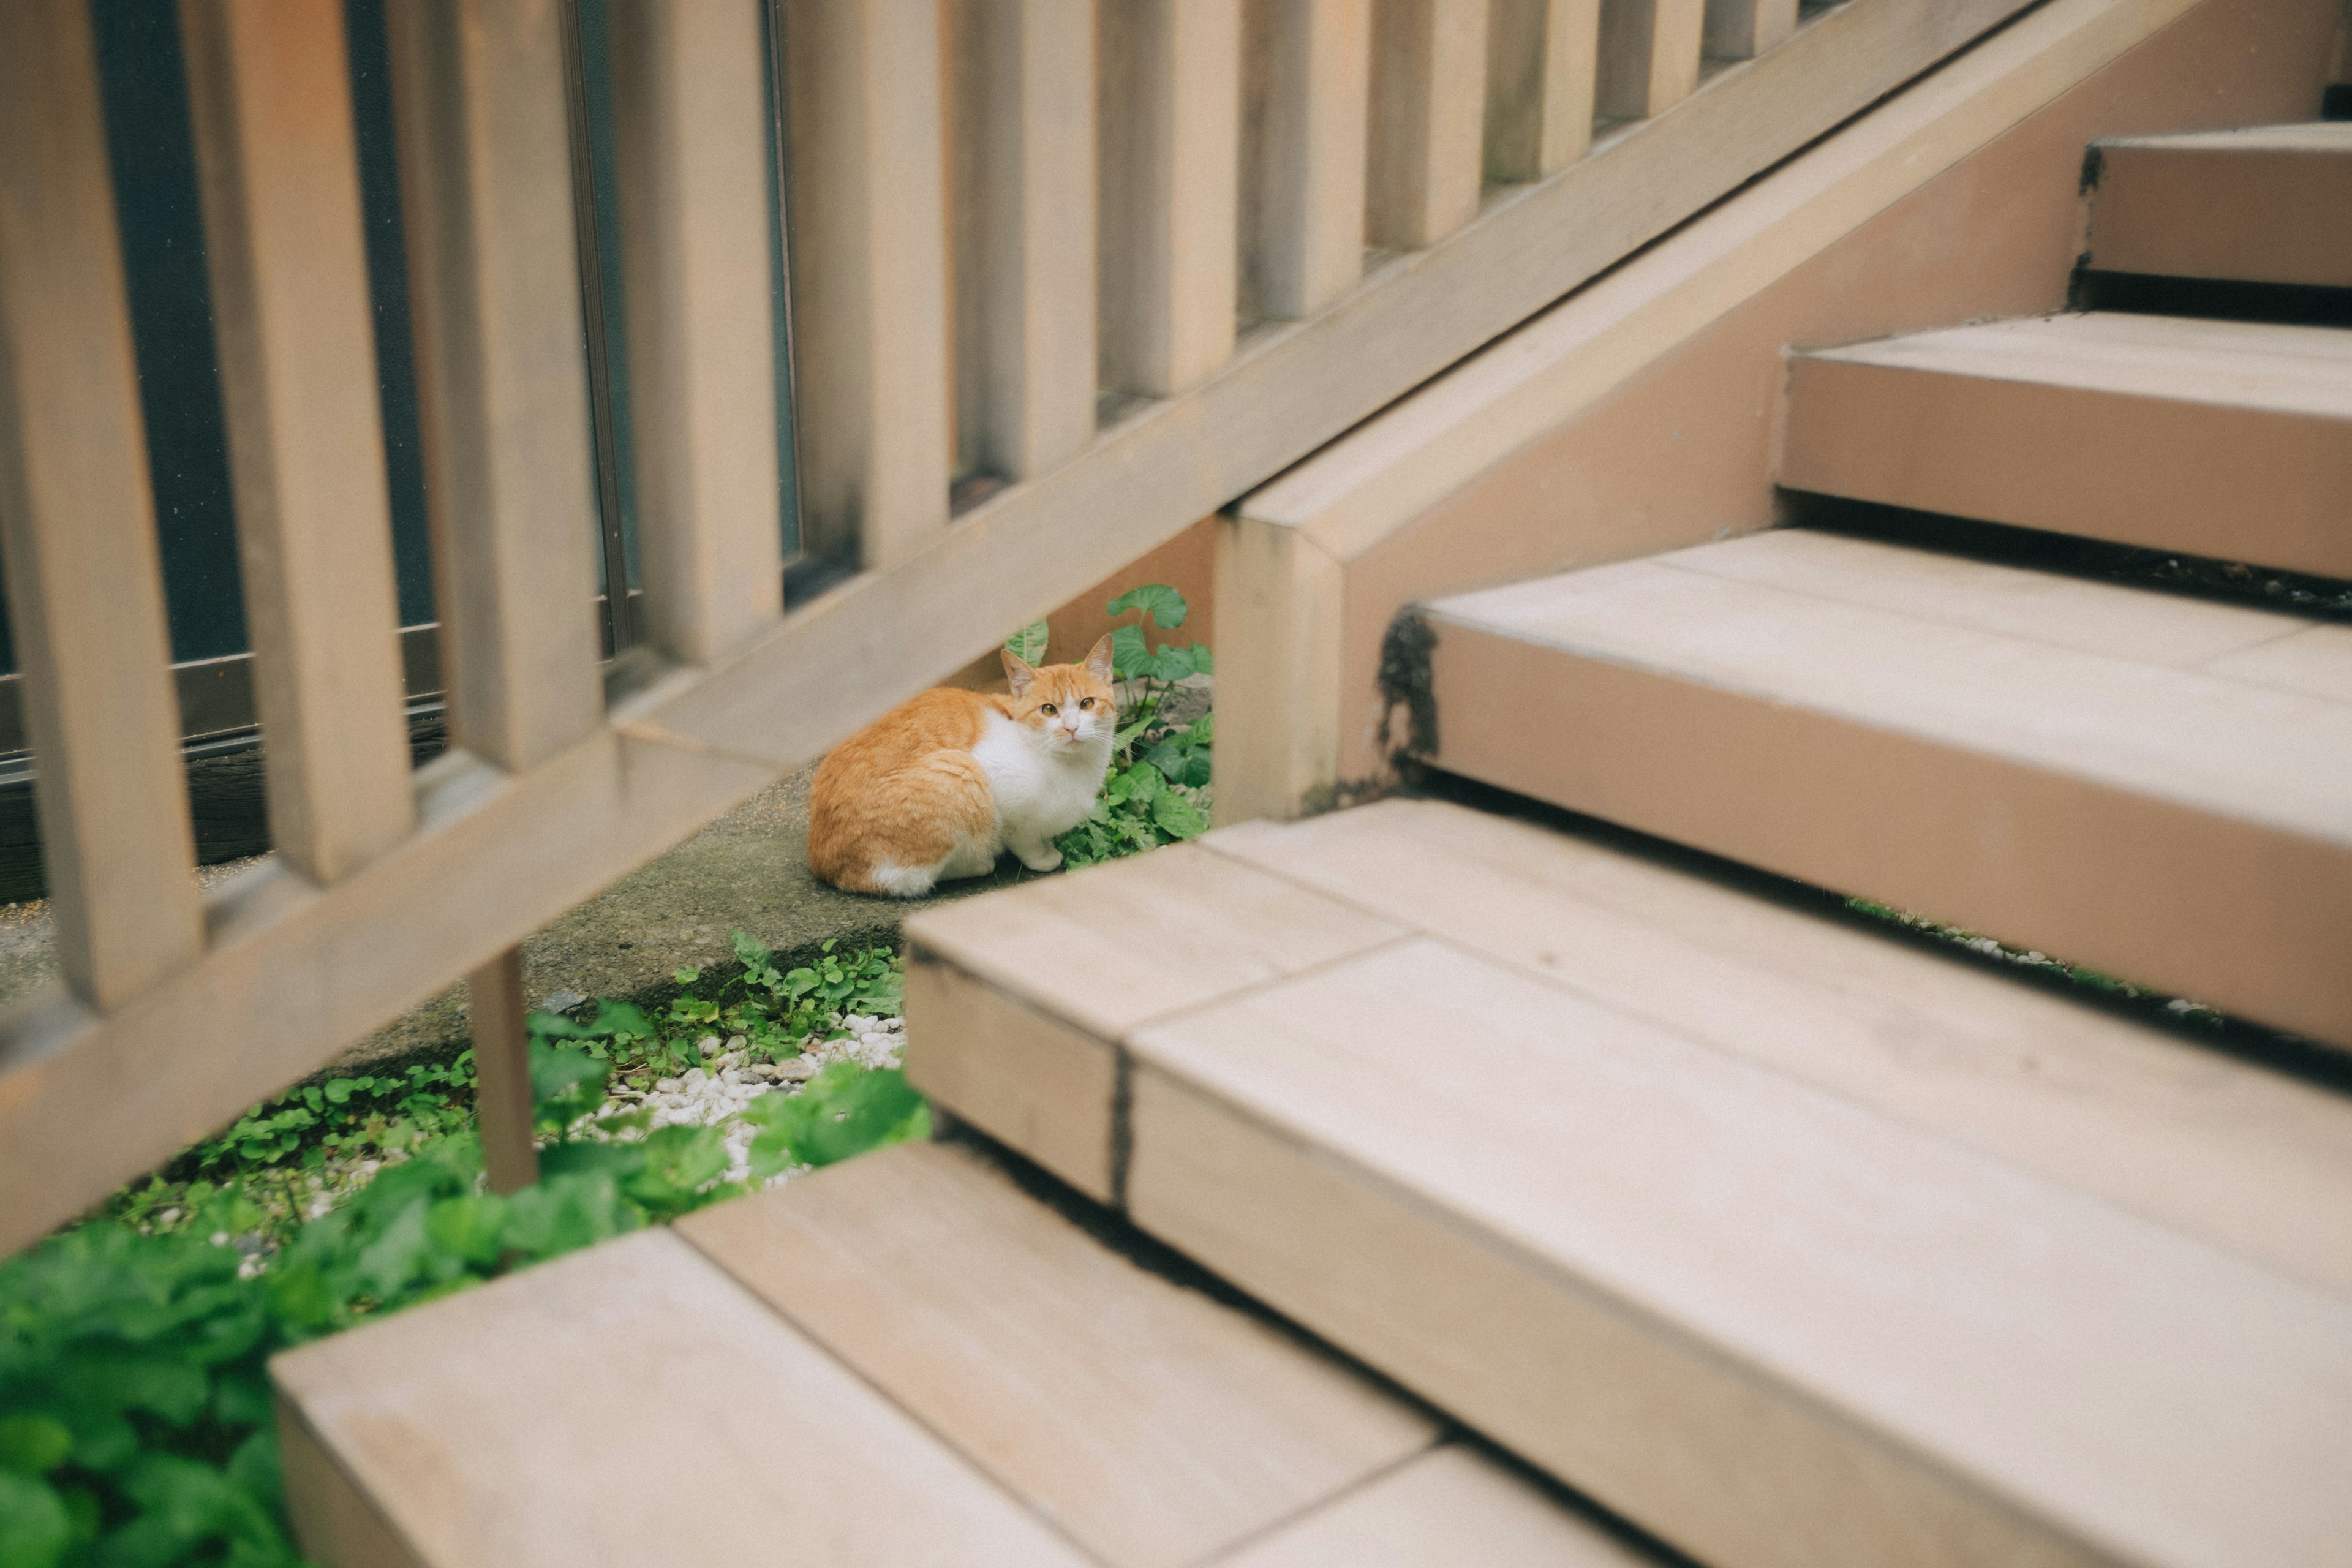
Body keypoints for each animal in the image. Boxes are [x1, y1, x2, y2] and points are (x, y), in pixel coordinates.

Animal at [809, 639, 1119, 902]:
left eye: (1087, 704)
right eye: (1049, 710)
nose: (1071, 727)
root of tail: (821, 861)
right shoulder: (997, 785)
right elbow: (1022, 836)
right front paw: (1042, 857)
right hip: (959, 773)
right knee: (910, 881)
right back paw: (979, 862)